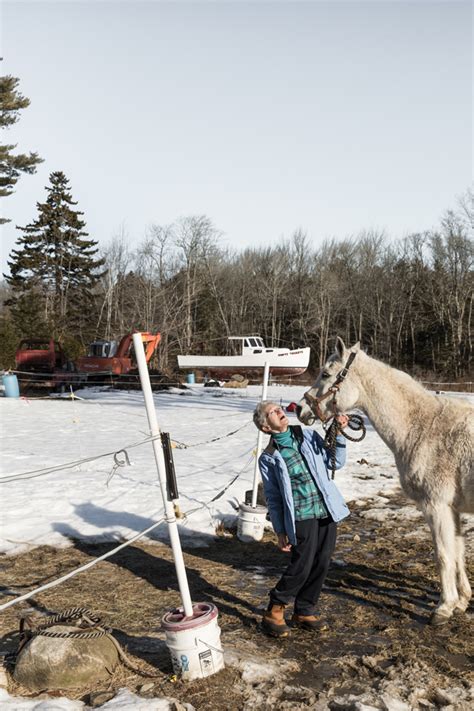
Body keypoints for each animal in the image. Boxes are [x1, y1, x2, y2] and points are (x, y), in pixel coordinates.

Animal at [298, 338, 472, 624]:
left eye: (325, 374)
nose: (301, 409)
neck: (423, 427)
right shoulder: (452, 508)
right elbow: (457, 552)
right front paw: (462, 601)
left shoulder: (436, 505)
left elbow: (443, 555)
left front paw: (444, 608)